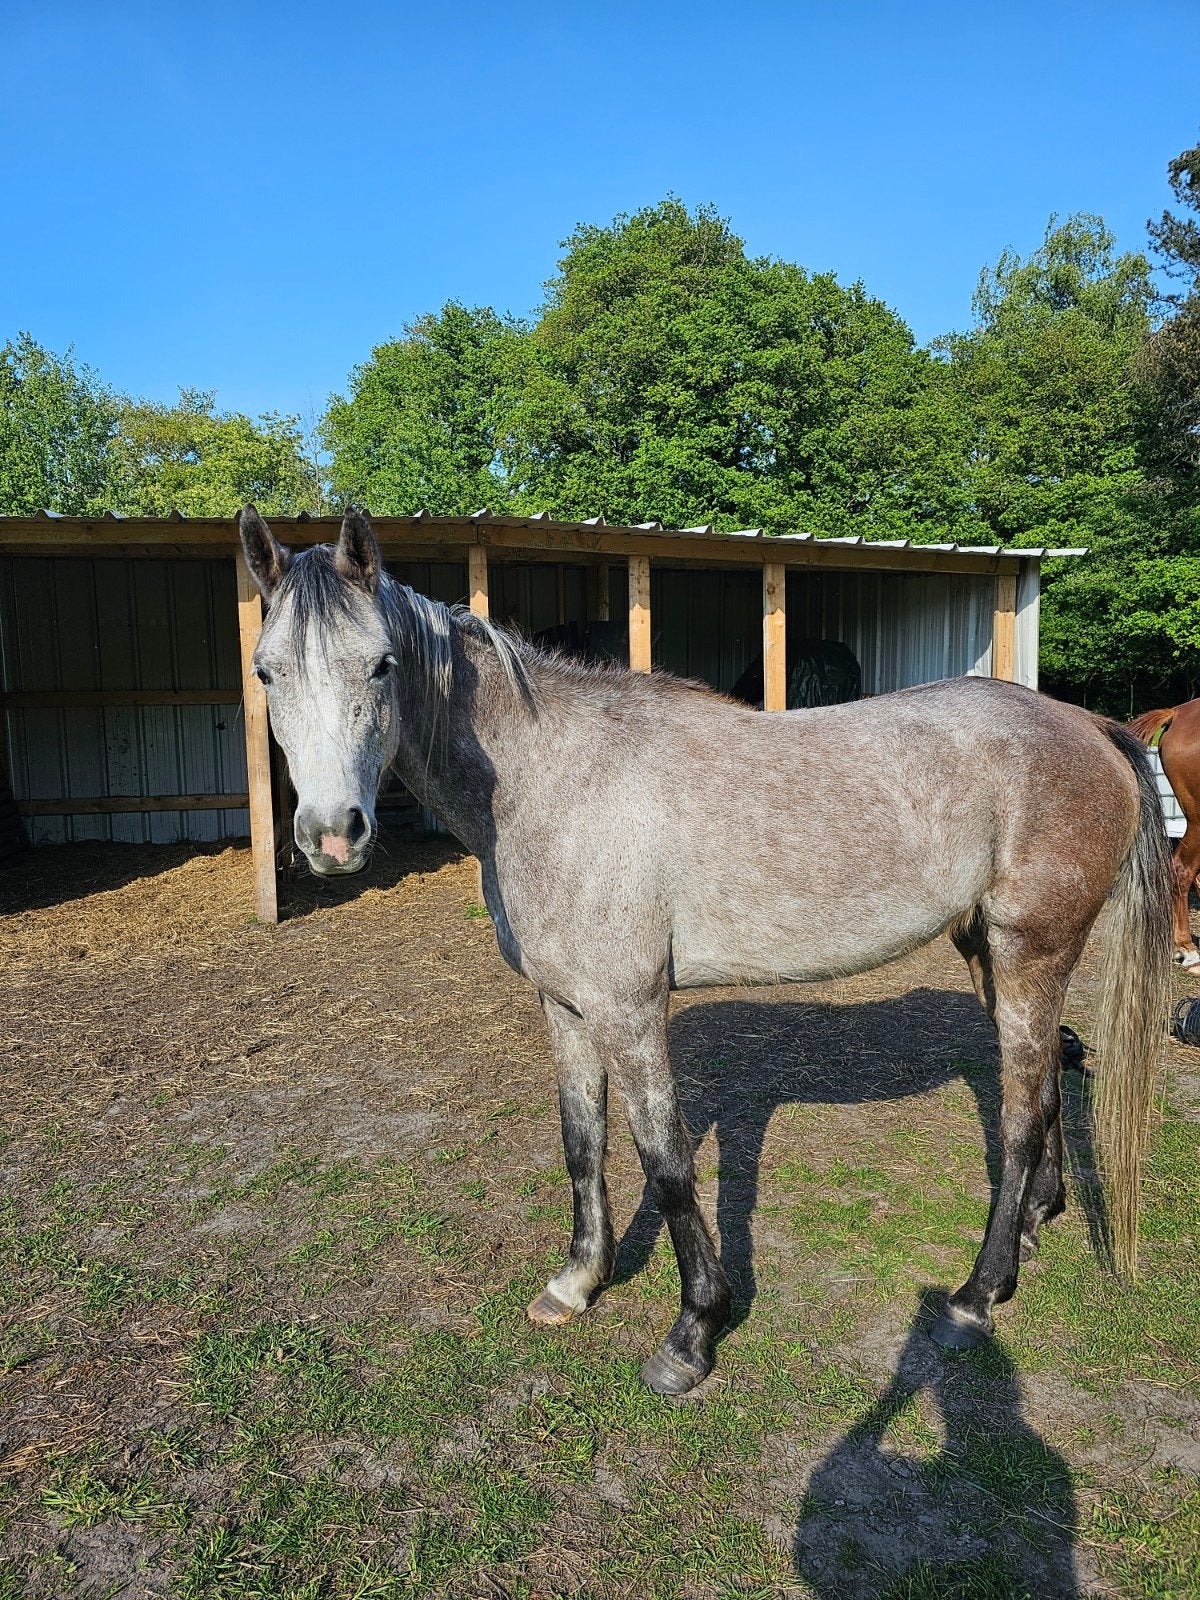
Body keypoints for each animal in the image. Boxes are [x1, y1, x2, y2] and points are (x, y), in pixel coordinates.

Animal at [238, 506, 1171, 1396]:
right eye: (266, 672)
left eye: (381, 665)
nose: (332, 835)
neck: (554, 781)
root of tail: (1089, 725)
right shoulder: (565, 1005)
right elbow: (582, 1142)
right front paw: (577, 1283)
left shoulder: (630, 1008)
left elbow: (668, 1165)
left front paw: (692, 1335)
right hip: (991, 956)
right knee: (1046, 1086)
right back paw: (1035, 1229)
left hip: (1030, 954)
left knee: (1018, 1117)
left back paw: (978, 1294)